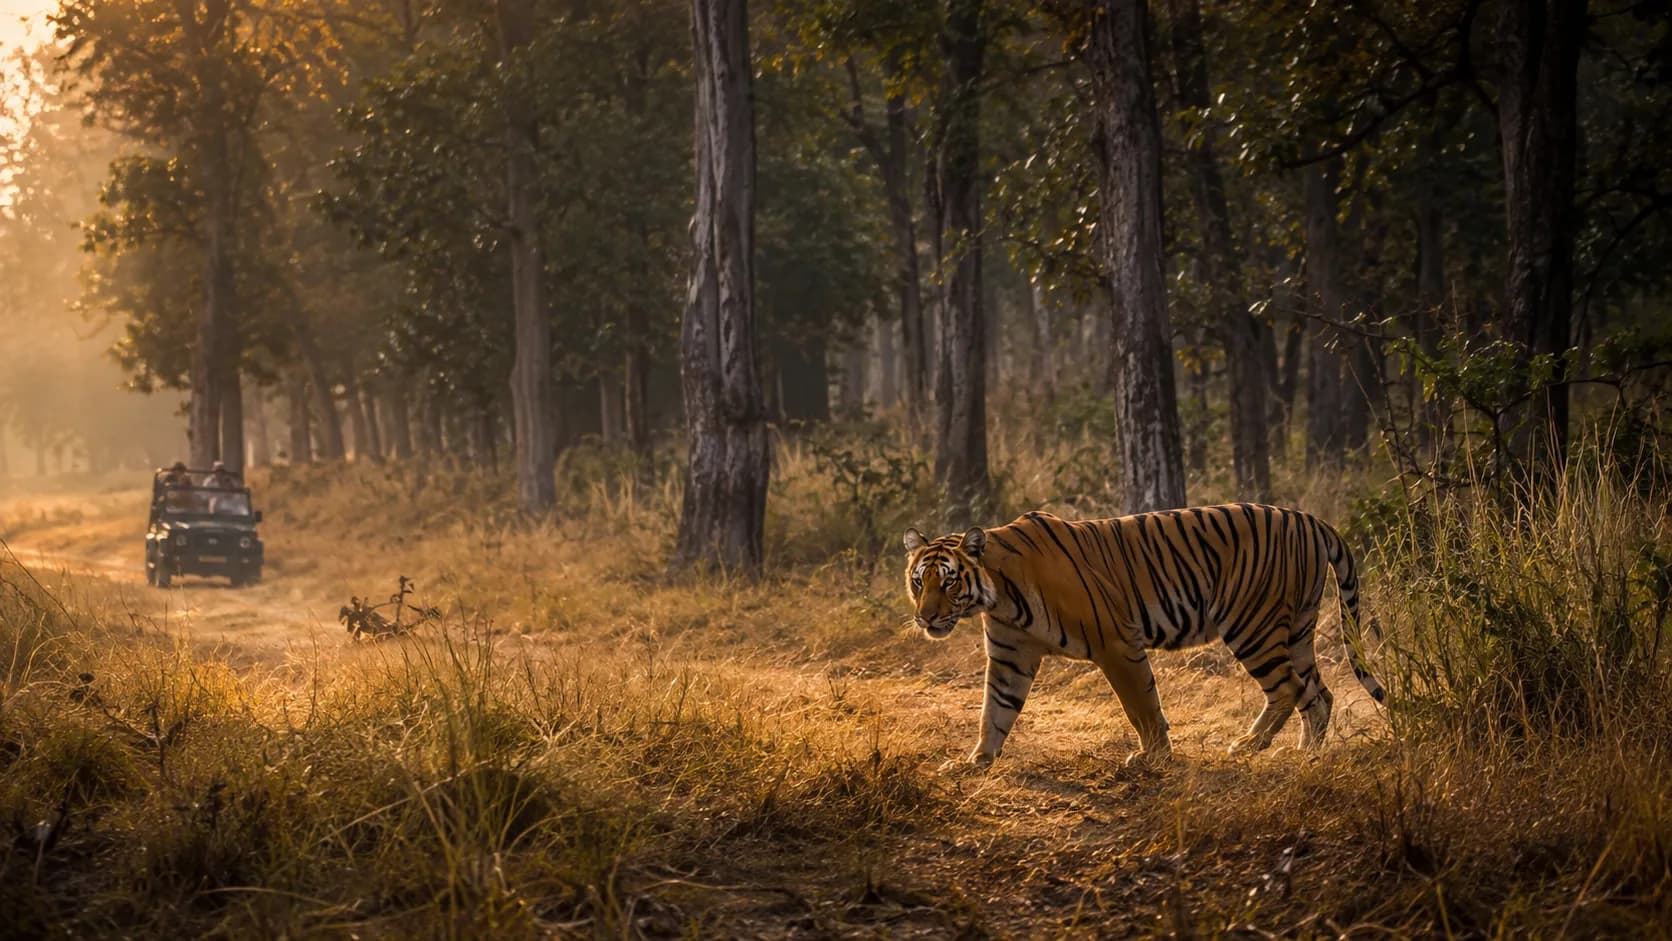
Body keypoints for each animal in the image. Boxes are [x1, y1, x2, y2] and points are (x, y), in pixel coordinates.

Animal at [902, 505, 1384, 767]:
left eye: (948, 582)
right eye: (918, 581)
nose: (925, 619)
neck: (998, 597)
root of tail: (1309, 519)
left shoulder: (1117, 644)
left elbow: (1142, 705)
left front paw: (1153, 756)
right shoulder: (1008, 657)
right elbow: (994, 712)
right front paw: (977, 761)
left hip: (1254, 625)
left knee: (1290, 688)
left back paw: (1251, 745)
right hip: (1298, 629)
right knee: (1318, 693)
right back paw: (1304, 754)